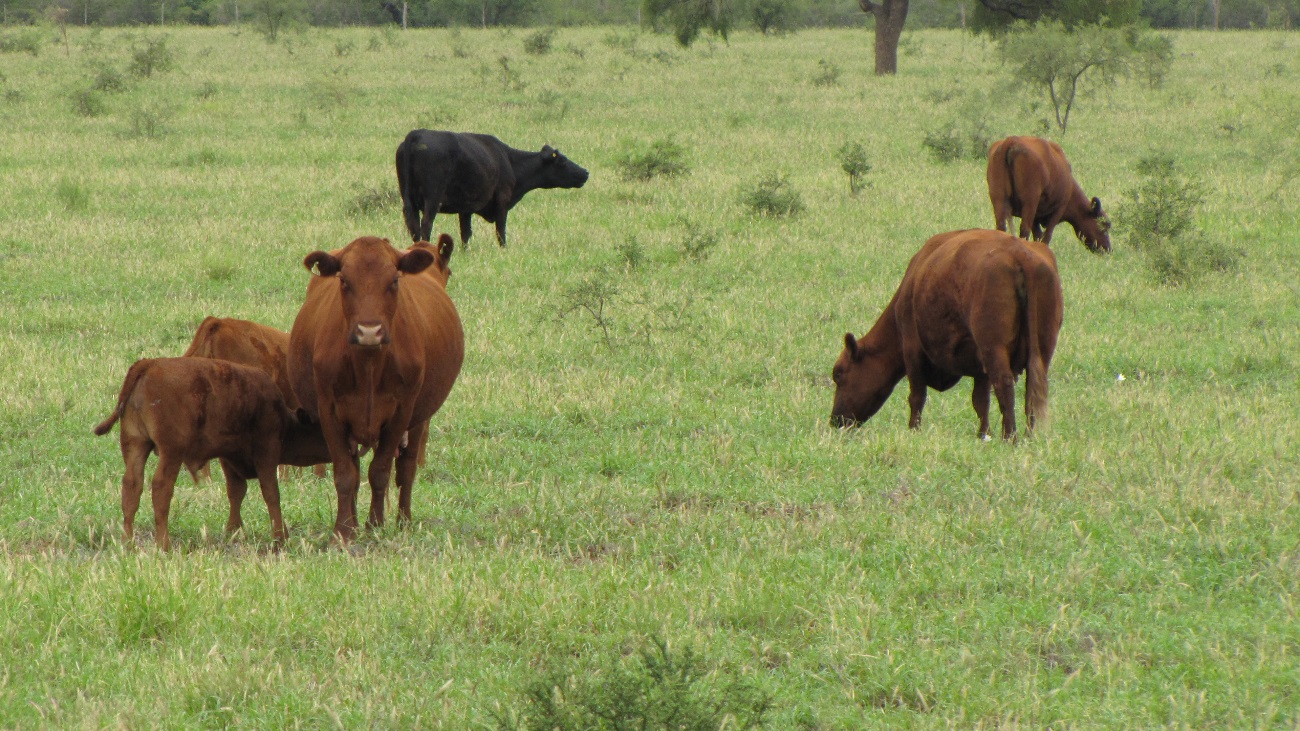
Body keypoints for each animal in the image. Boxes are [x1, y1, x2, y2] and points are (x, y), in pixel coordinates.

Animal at [92, 356, 330, 548]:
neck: (287, 422)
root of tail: (148, 364)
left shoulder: (229, 457)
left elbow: (236, 492)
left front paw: (234, 530)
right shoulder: (267, 452)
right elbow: (271, 493)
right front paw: (280, 537)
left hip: (135, 445)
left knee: (132, 486)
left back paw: (127, 544)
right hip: (171, 453)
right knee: (161, 488)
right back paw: (164, 545)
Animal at [288, 232, 462, 541]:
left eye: (394, 280)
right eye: (344, 280)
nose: (369, 331)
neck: (368, 363)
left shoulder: (401, 412)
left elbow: (380, 471)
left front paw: (376, 525)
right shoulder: (329, 412)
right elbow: (346, 474)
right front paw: (344, 530)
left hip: (419, 417)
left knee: (406, 469)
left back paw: (403, 521)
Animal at [387, 129, 587, 245]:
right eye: (562, 161)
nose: (585, 172)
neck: (510, 161)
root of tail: (415, 135)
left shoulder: (466, 207)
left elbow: (466, 233)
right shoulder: (502, 199)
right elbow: (501, 231)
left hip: (408, 198)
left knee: (413, 225)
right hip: (433, 198)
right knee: (426, 224)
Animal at [826, 227, 1060, 437]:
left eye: (839, 373)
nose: (835, 420)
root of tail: (1020, 253)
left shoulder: (912, 349)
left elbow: (917, 396)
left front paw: (913, 430)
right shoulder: (980, 366)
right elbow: (980, 400)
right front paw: (983, 434)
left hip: (994, 348)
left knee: (1005, 386)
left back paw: (1010, 436)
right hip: (1043, 348)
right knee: (1032, 392)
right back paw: (1029, 435)